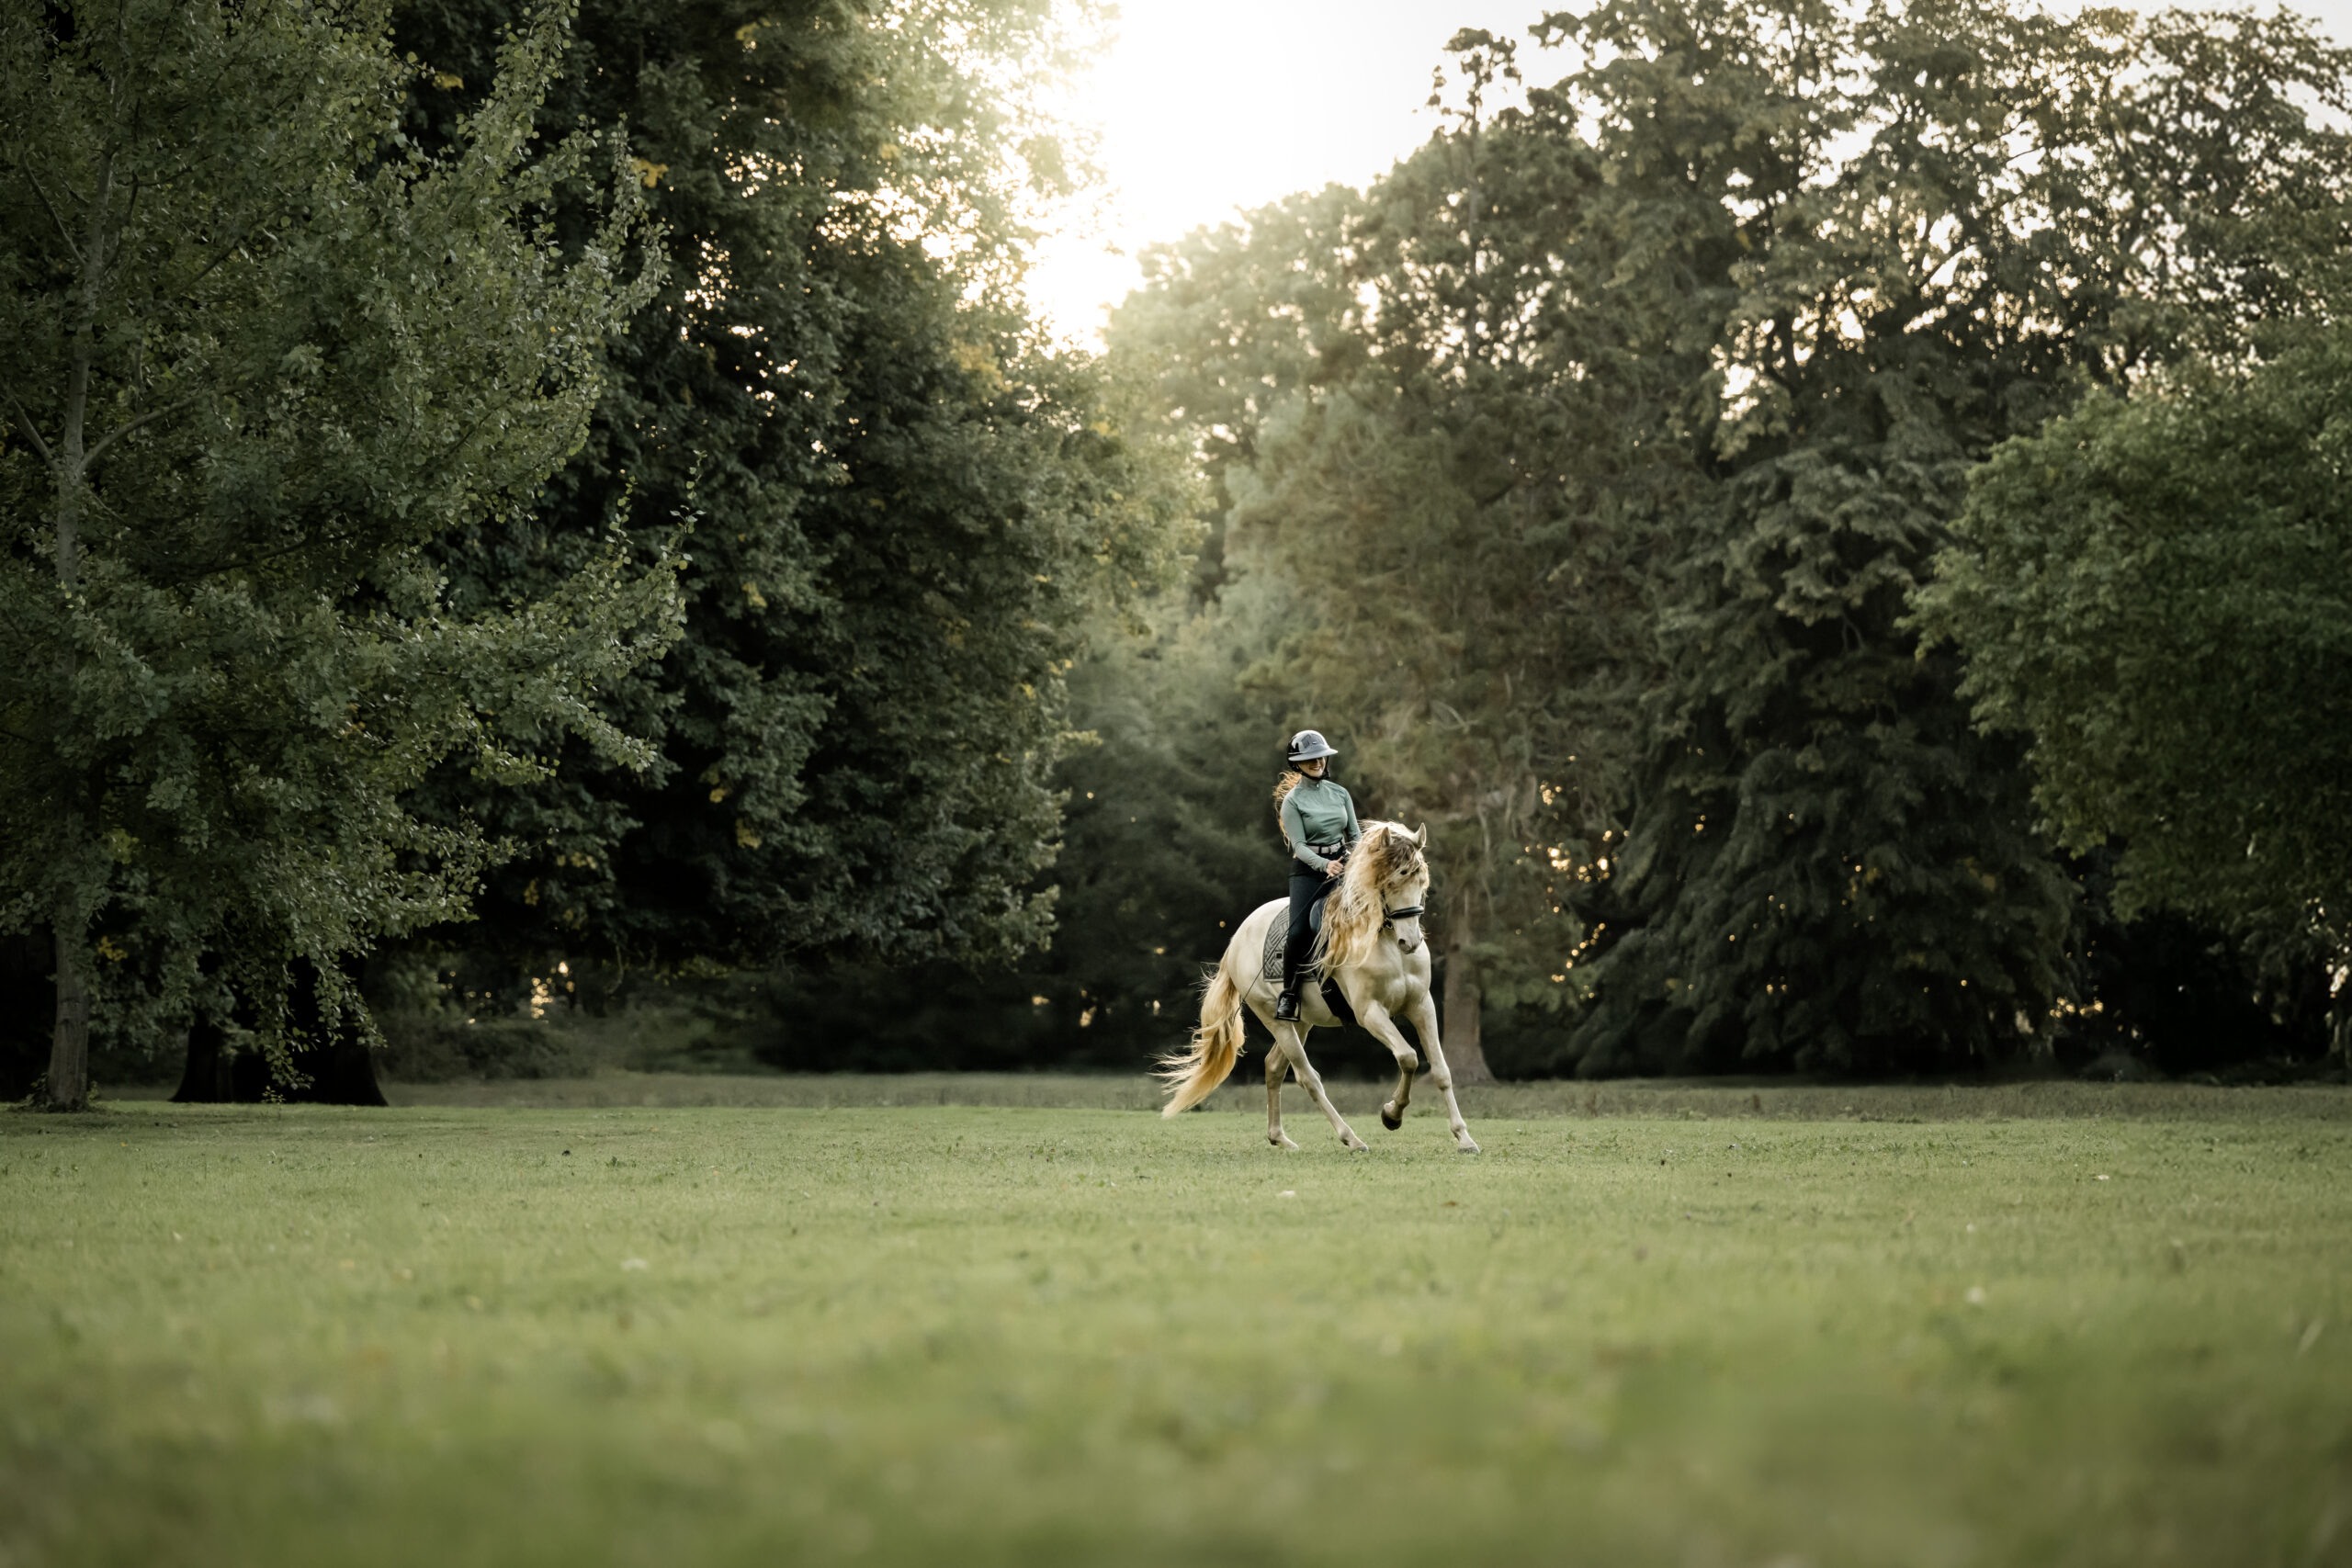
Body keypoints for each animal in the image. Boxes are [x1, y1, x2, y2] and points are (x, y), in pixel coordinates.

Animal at [1157, 820, 1480, 1153]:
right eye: (1392, 882)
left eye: (1421, 881)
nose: (1410, 942)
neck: (1385, 941)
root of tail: (1237, 940)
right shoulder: (1370, 1013)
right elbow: (1408, 1057)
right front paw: (1392, 1115)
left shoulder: (1421, 1006)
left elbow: (1440, 1070)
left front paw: (1464, 1138)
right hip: (1276, 1021)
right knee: (1307, 1077)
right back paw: (1351, 1138)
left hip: (1300, 1022)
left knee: (1274, 1067)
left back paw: (1280, 1138)